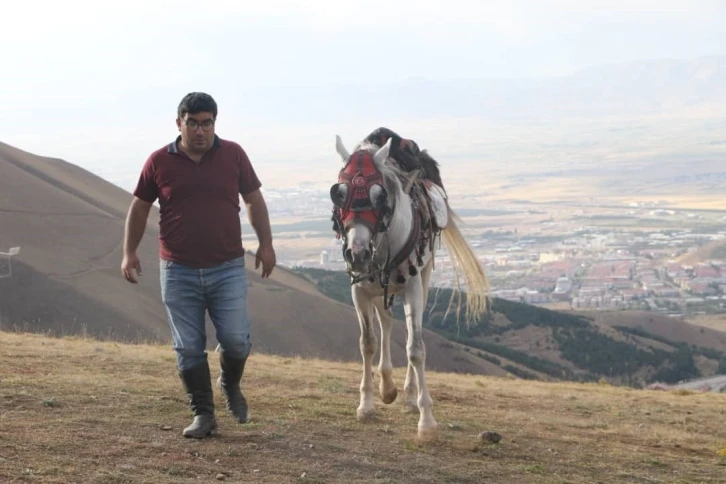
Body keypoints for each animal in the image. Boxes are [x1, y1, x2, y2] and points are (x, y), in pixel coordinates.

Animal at [332, 130, 492, 438]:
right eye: (339, 193)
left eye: (379, 195)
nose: (357, 254)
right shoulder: (358, 290)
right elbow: (367, 343)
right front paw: (366, 405)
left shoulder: (413, 289)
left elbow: (415, 349)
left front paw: (426, 419)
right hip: (378, 287)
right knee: (386, 321)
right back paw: (387, 386)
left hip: (422, 277)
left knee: (406, 331)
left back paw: (407, 395)